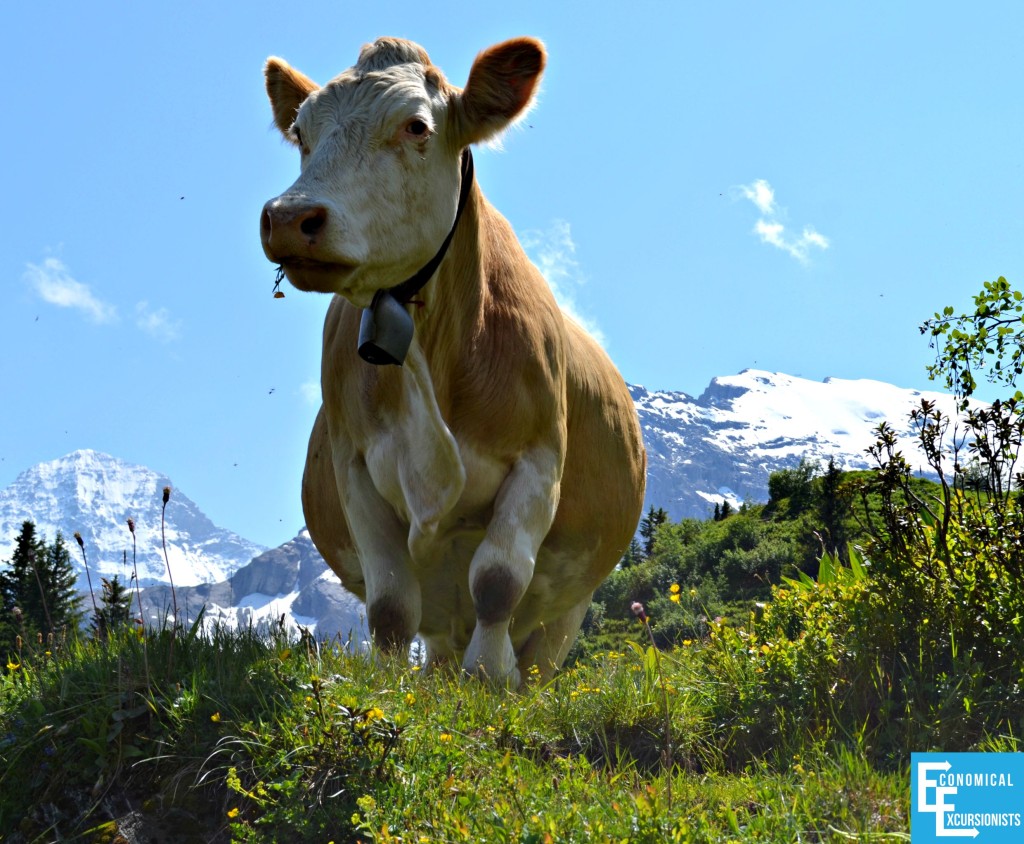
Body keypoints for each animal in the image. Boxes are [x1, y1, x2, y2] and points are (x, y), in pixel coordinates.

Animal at [262, 37, 647, 684]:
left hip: (573, 603)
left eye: (416, 126)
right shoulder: (354, 467)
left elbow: (497, 580)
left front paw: (488, 677)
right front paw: (393, 688)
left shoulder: (539, 461)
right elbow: (392, 607)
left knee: (539, 655)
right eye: (301, 133)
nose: (289, 217)